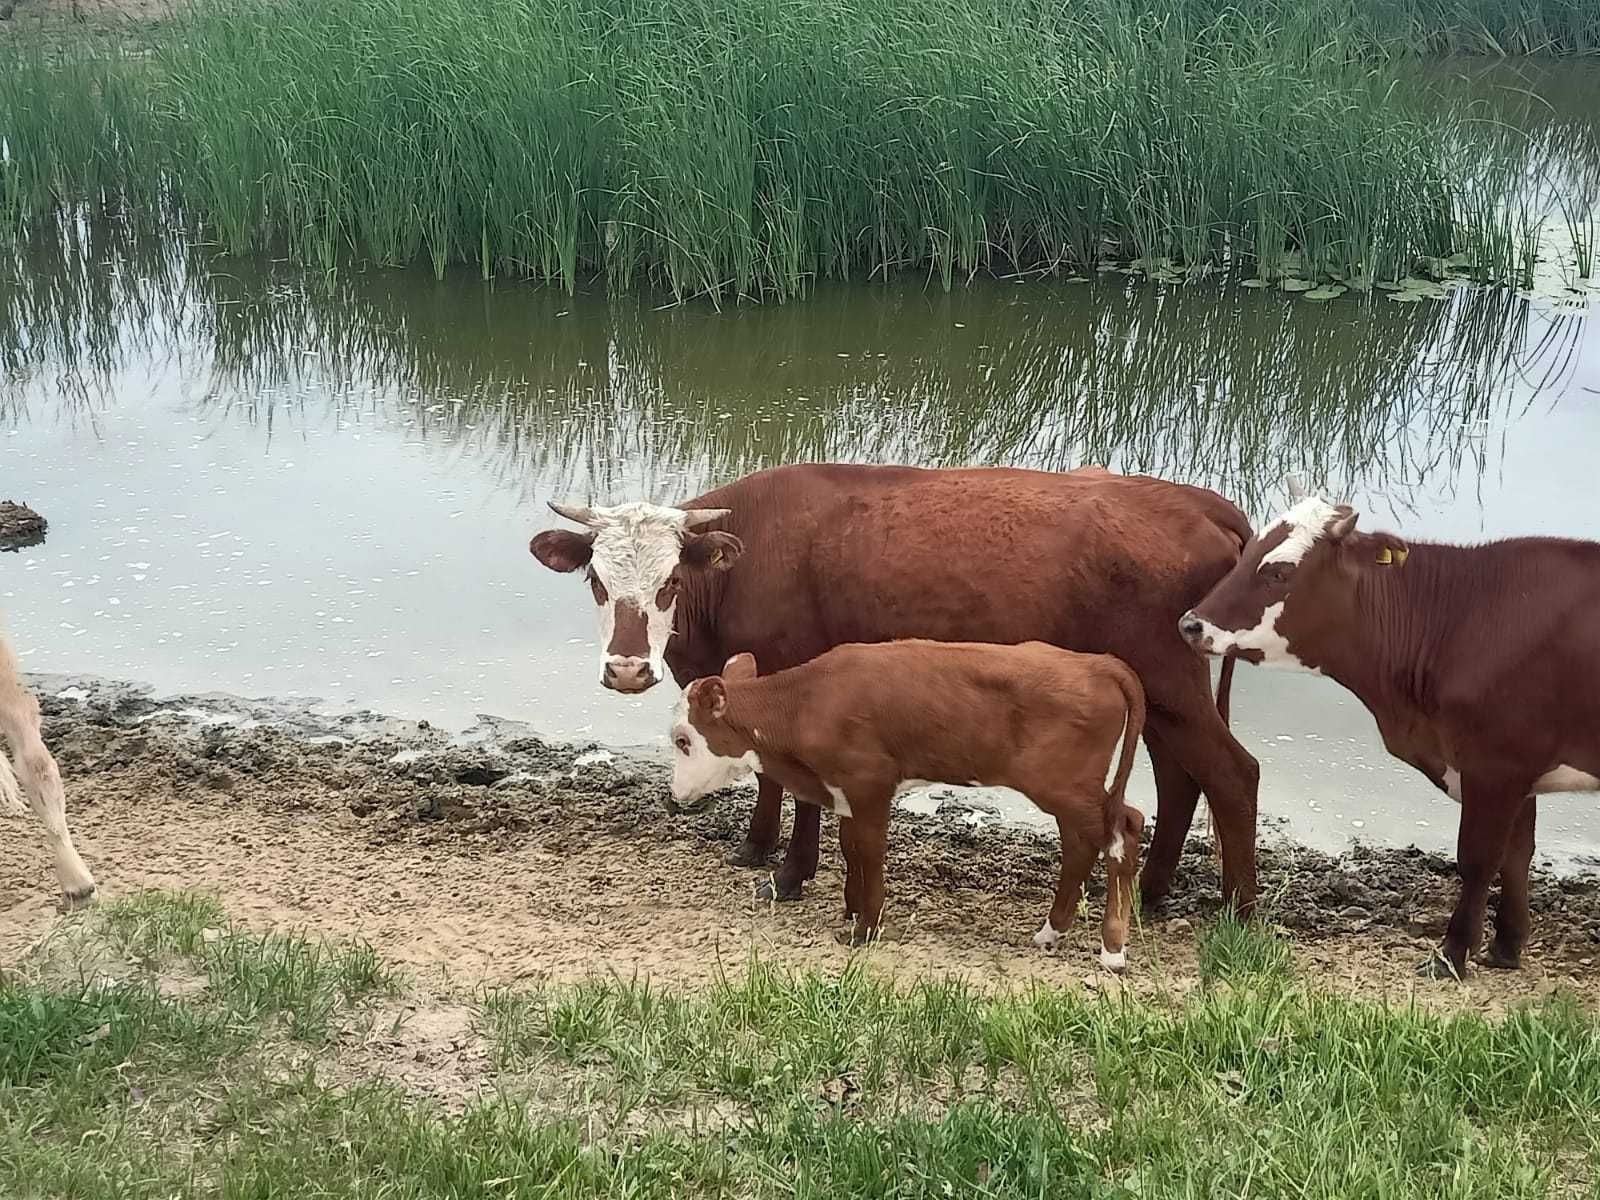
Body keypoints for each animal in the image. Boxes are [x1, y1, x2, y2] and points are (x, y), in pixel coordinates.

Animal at [534, 464, 1260, 915]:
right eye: (596, 580)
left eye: (670, 584)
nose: (628, 669)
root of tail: (1200, 503)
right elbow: (765, 773)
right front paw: (757, 846)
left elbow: (796, 786)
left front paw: (790, 873)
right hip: (1163, 696)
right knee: (1181, 776)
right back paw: (1154, 893)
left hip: (1171, 683)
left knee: (1232, 773)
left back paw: (1238, 910)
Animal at [668, 643, 1145, 972]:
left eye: (683, 740)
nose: (675, 795)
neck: (806, 702)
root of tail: (1098, 662)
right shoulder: (846, 791)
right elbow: (850, 847)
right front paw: (853, 908)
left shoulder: (870, 783)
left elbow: (870, 851)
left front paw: (866, 927)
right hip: (1068, 790)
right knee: (1084, 844)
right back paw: (1051, 932)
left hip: (1063, 785)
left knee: (1123, 830)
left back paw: (1112, 950)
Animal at [1177, 483, 1600, 979]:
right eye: (1247, 554)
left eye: (1279, 571)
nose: (1190, 624)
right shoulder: (1517, 771)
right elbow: (1517, 857)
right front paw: (1507, 946)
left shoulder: (1495, 766)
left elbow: (1478, 860)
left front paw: (1452, 953)